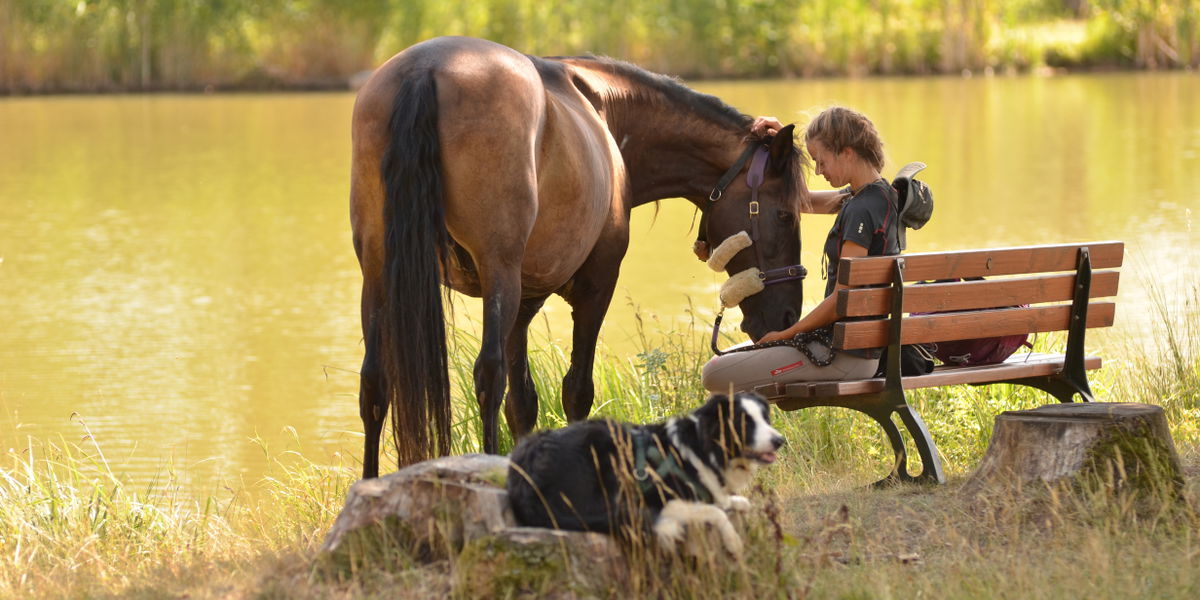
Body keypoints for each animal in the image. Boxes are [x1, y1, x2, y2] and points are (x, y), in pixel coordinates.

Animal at [350, 36, 809, 478]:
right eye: (785, 215)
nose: (789, 317)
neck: (604, 110)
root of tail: (425, 68)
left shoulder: (524, 303)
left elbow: (523, 403)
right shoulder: (595, 285)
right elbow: (575, 391)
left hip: (379, 274)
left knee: (374, 382)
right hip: (497, 273)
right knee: (488, 376)